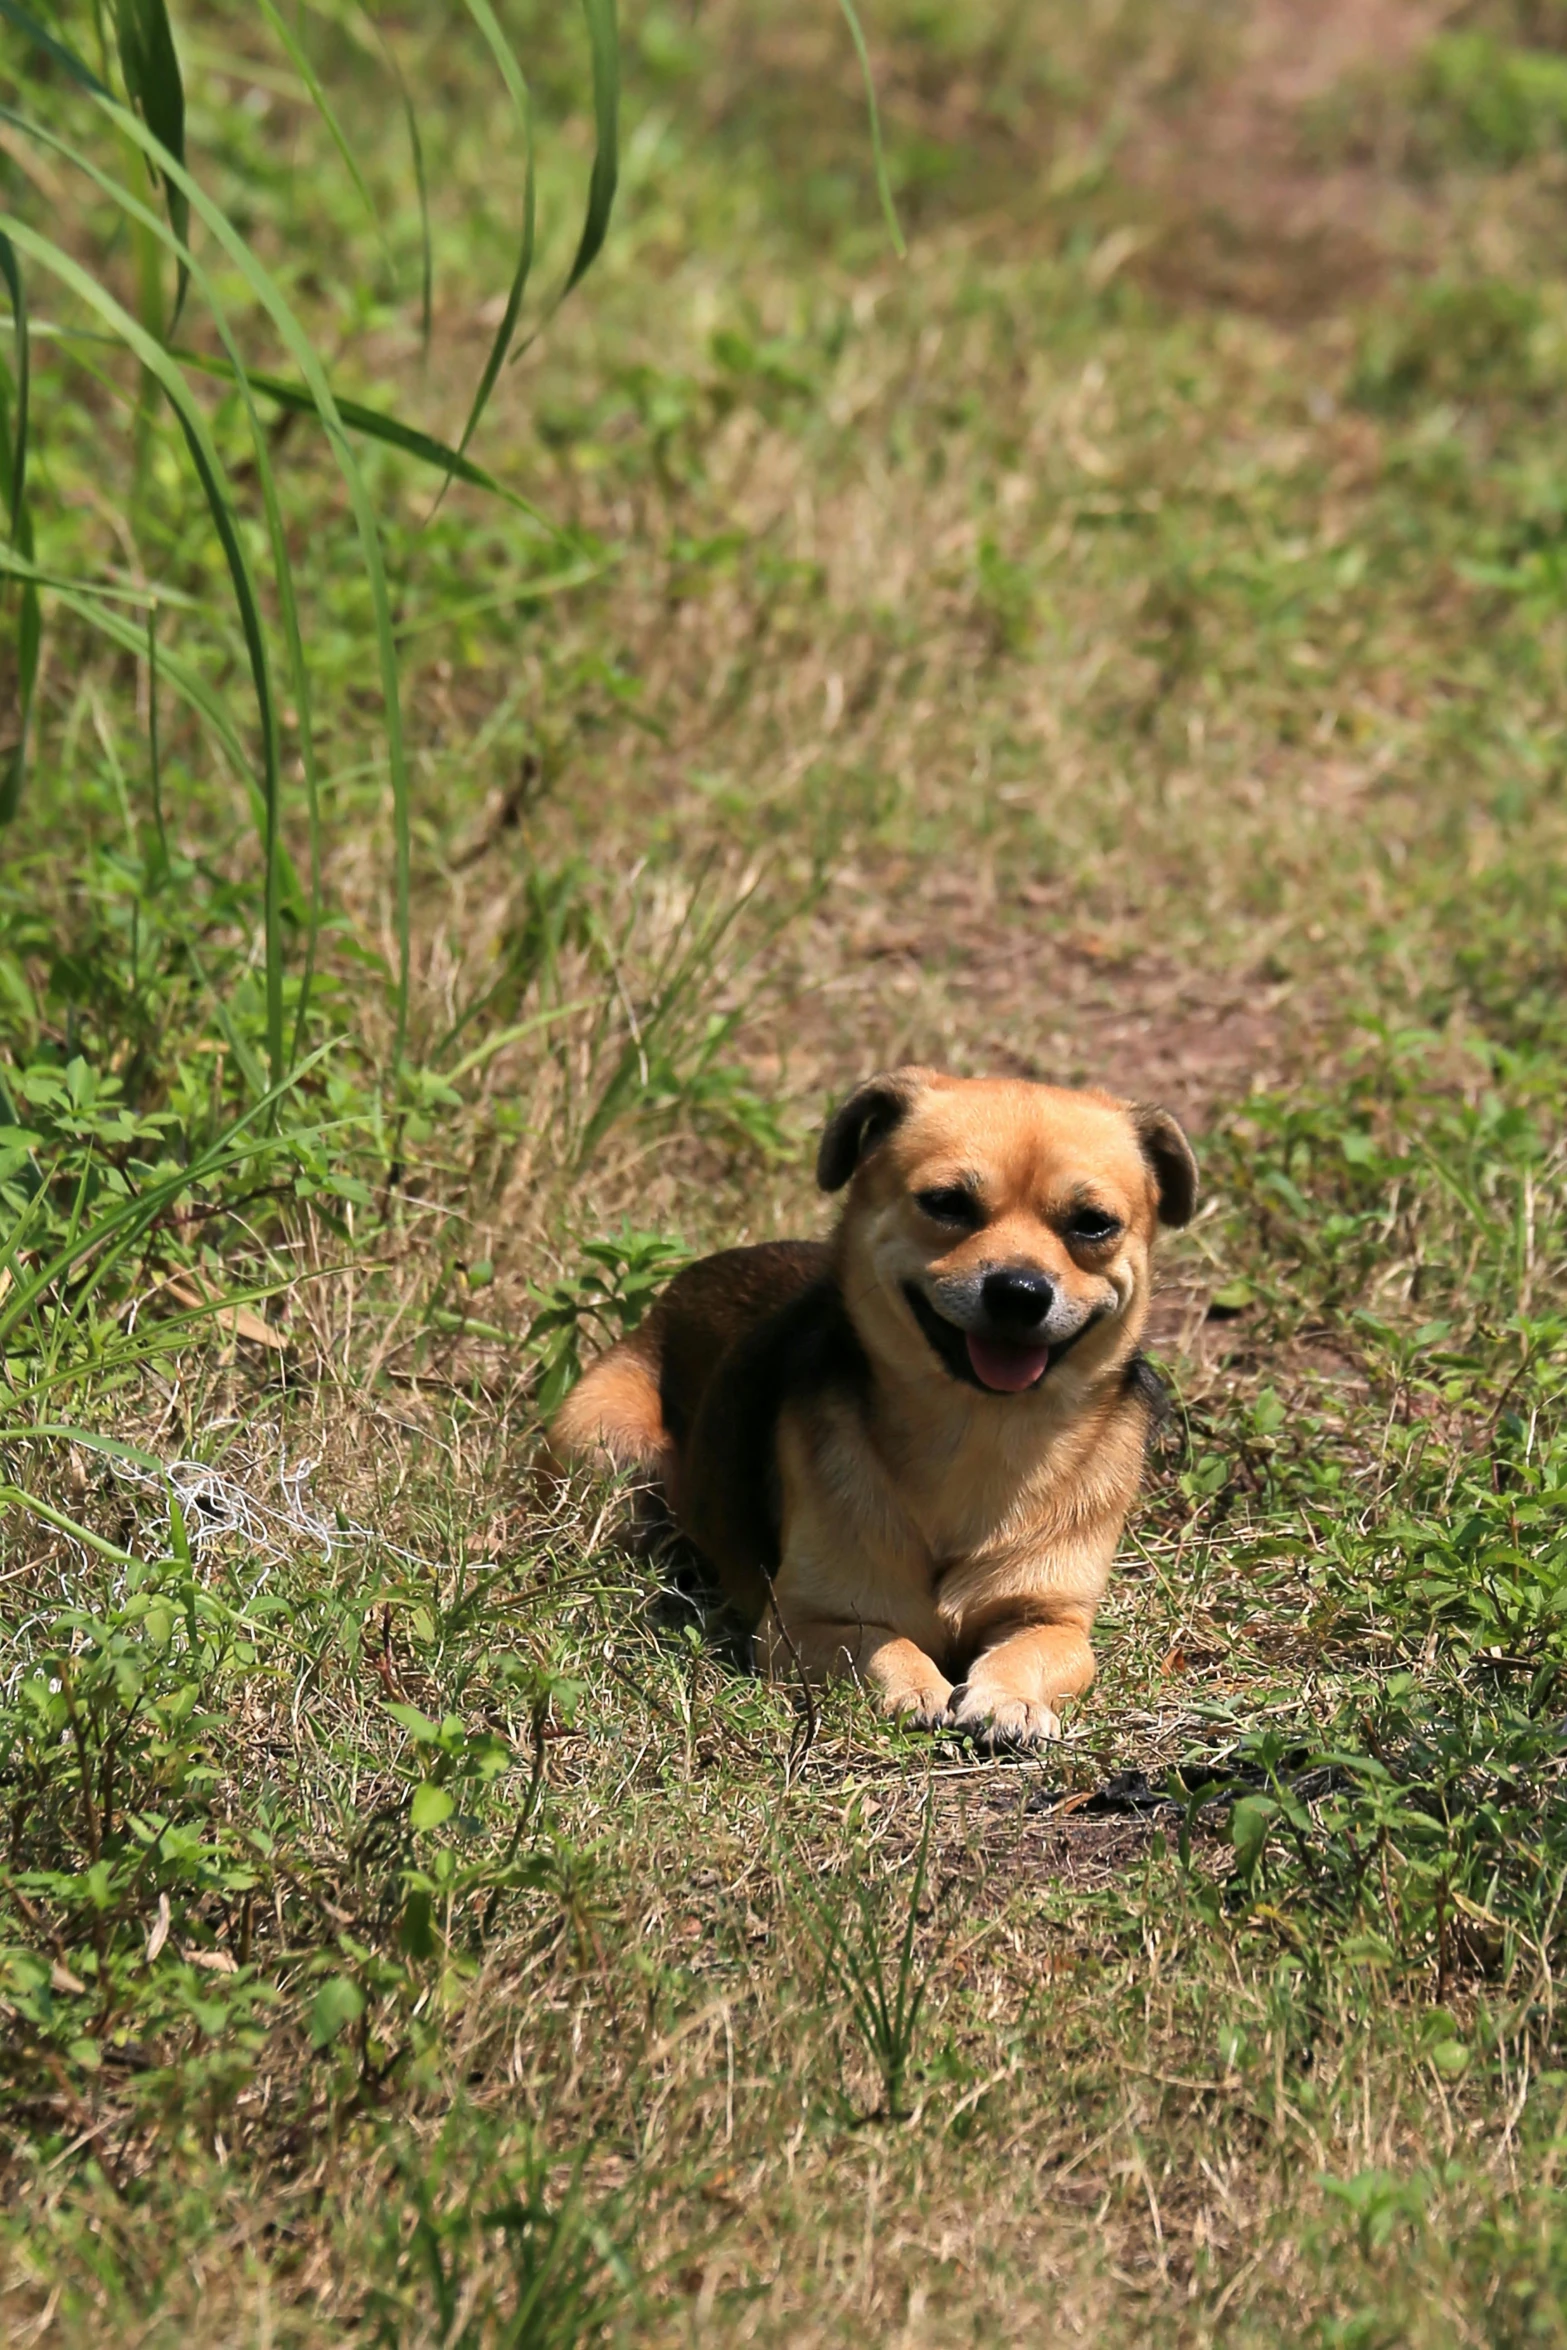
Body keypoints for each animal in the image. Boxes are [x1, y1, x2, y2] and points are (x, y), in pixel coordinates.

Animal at [545, 1071, 1193, 1748]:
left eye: (1093, 1224)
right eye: (946, 1203)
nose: (1019, 1291)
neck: (976, 1426)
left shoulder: (1055, 1619)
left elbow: (1033, 1651)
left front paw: (1008, 1698)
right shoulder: (803, 1624)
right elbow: (881, 1643)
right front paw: (916, 1686)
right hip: (605, 1449)